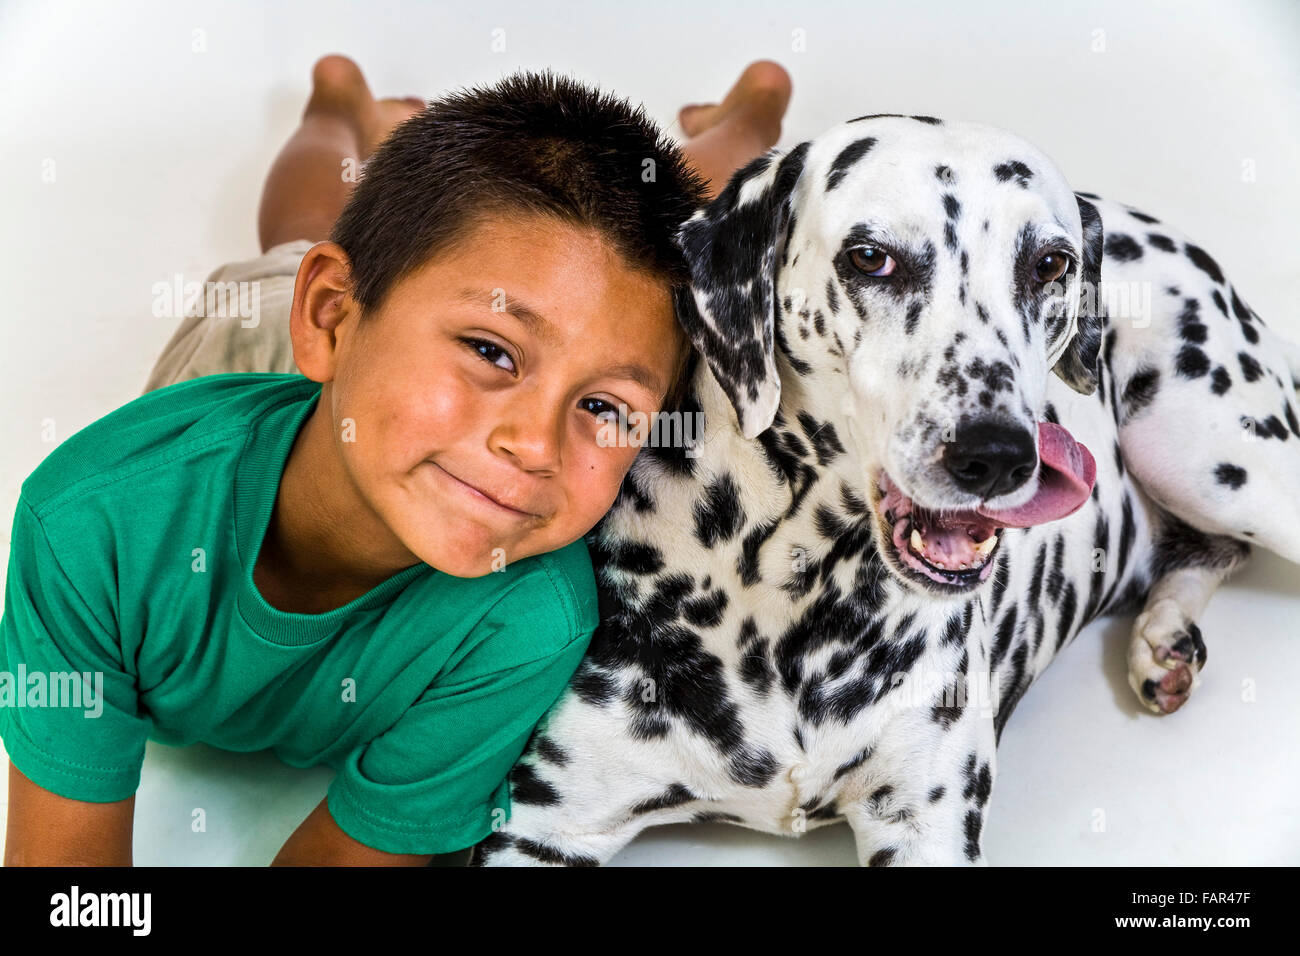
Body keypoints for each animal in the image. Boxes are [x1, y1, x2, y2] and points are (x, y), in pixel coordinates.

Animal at [467, 113, 1300, 868]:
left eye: (1050, 264)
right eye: (872, 258)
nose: (995, 454)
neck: (790, 599)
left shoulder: (927, 823)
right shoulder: (545, 826)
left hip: (1216, 458)